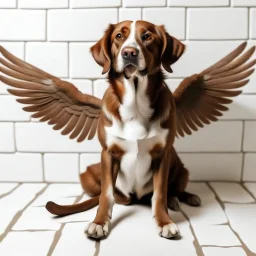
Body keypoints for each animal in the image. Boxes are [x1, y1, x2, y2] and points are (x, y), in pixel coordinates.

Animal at [1, 20, 255, 240]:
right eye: (118, 37)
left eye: (147, 36)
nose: (129, 53)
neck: (135, 102)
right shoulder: (108, 154)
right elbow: (106, 195)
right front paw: (99, 223)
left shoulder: (162, 155)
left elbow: (159, 194)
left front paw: (164, 221)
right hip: (88, 174)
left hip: (181, 168)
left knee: (171, 189)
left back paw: (181, 198)